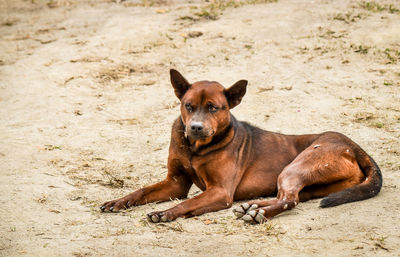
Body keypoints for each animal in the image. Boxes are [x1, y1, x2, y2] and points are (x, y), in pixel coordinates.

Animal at [100, 69, 382, 222]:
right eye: (188, 106)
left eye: (213, 108)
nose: (196, 127)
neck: (196, 148)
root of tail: (356, 147)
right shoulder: (175, 183)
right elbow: (141, 191)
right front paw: (119, 201)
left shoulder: (220, 191)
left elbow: (188, 203)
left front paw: (167, 213)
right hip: (315, 184)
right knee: (290, 197)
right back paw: (252, 207)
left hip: (297, 166)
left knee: (289, 200)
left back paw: (258, 215)